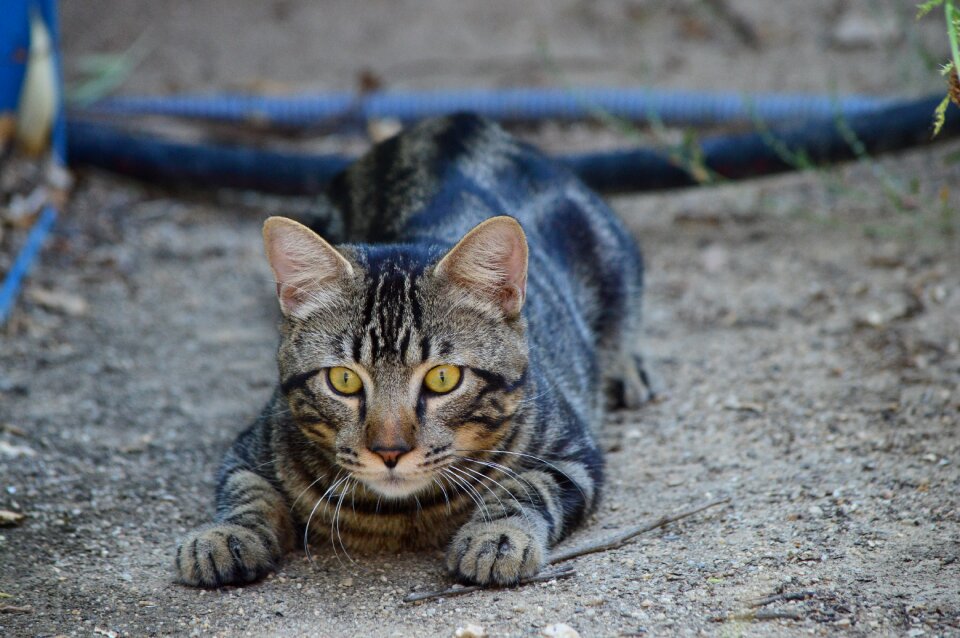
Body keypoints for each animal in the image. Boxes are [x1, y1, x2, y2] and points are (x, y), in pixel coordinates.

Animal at [176, 114, 648, 592]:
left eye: (444, 378)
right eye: (343, 380)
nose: (390, 451)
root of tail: (454, 120)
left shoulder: (573, 455)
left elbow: (527, 488)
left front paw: (496, 535)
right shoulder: (249, 449)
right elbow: (248, 492)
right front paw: (224, 536)